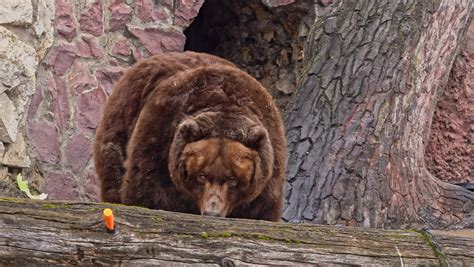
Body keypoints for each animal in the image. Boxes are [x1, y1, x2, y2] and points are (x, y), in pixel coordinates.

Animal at [92, 51, 286, 221]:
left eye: (232, 179)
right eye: (201, 175)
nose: (212, 213)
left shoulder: (268, 173)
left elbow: (261, 210)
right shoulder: (160, 138)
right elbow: (146, 192)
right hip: (122, 119)